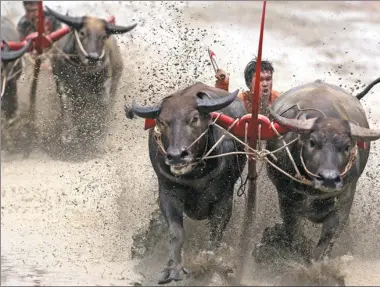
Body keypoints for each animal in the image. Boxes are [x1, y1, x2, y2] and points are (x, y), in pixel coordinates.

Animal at [45, 6, 137, 146]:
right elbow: (67, 105)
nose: (93, 58)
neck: (82, 70)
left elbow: (100, 106)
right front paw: (68, 135)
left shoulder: (104, 85)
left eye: (104, 36)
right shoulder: (61, 82)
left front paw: (96, 133)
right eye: (82, 33)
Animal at [132, 82, 248, 284]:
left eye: (194, 118)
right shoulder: (167, 193)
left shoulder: (224, 198)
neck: (194, 175)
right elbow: (175, 232)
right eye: (162, 122)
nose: (177, 155)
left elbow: (216, 233)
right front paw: (173, 269)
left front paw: (210, 263)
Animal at [260, 79, 380, 266]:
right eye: (312, 142)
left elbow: (327, 238)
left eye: (347, 146)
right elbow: (295, 236)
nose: (328, 179)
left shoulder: (345, 199)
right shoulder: (286, 199)